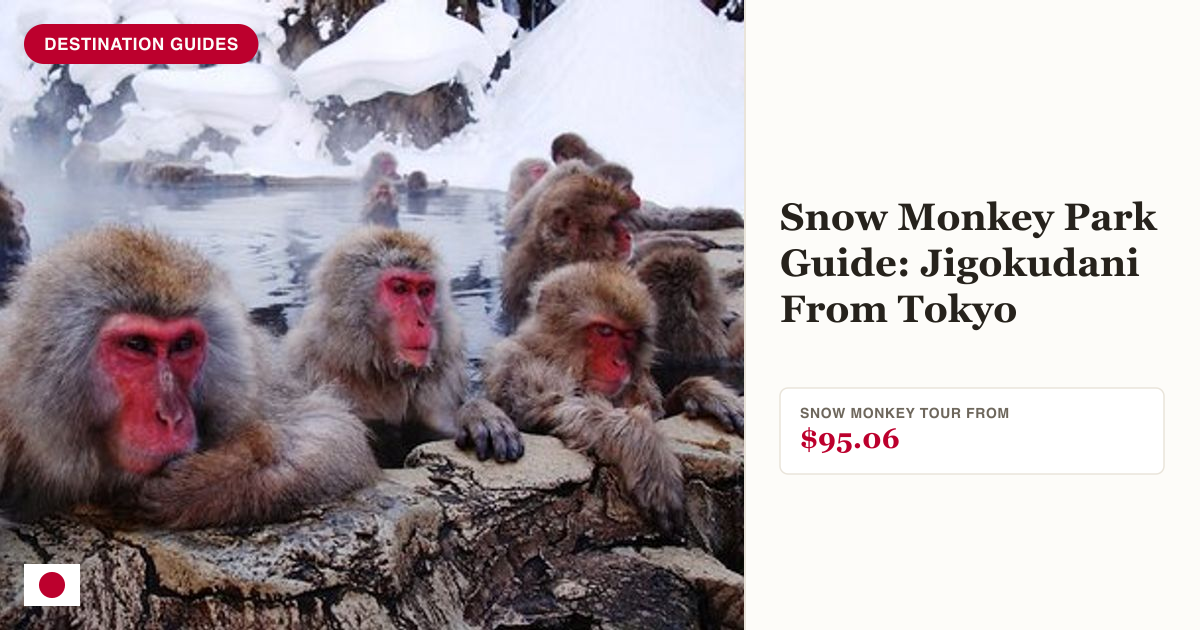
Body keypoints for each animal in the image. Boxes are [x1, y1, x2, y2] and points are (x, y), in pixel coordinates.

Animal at [285, 227, 468, 465]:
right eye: (399, 289)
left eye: (425, 291)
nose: (421, 322)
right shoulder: (305, 370)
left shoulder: (444, 368)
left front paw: (477, 417)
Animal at [457, 262, 744, 532]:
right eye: (604, 331)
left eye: (628, 336)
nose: (620, 363)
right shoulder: (514, 366)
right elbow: (548, 409)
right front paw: (644, 446)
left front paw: (701, 393)